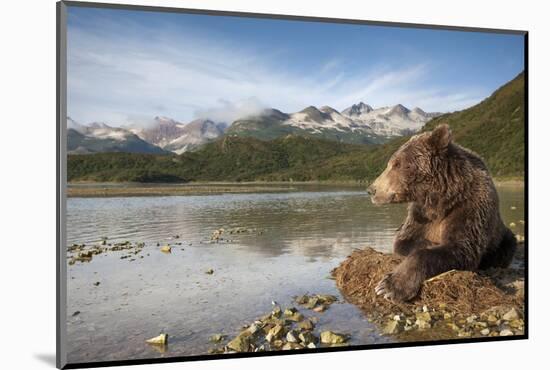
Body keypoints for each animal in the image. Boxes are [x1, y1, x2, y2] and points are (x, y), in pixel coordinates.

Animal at [368, 123, 520, 300]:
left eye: (398, 164)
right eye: (391, 163)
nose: (372, 189)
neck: (441, 199)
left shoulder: (469, 208)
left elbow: (460, 248)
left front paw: (389, 286)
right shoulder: (421, 214)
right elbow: (403, 240)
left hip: (502, 238)